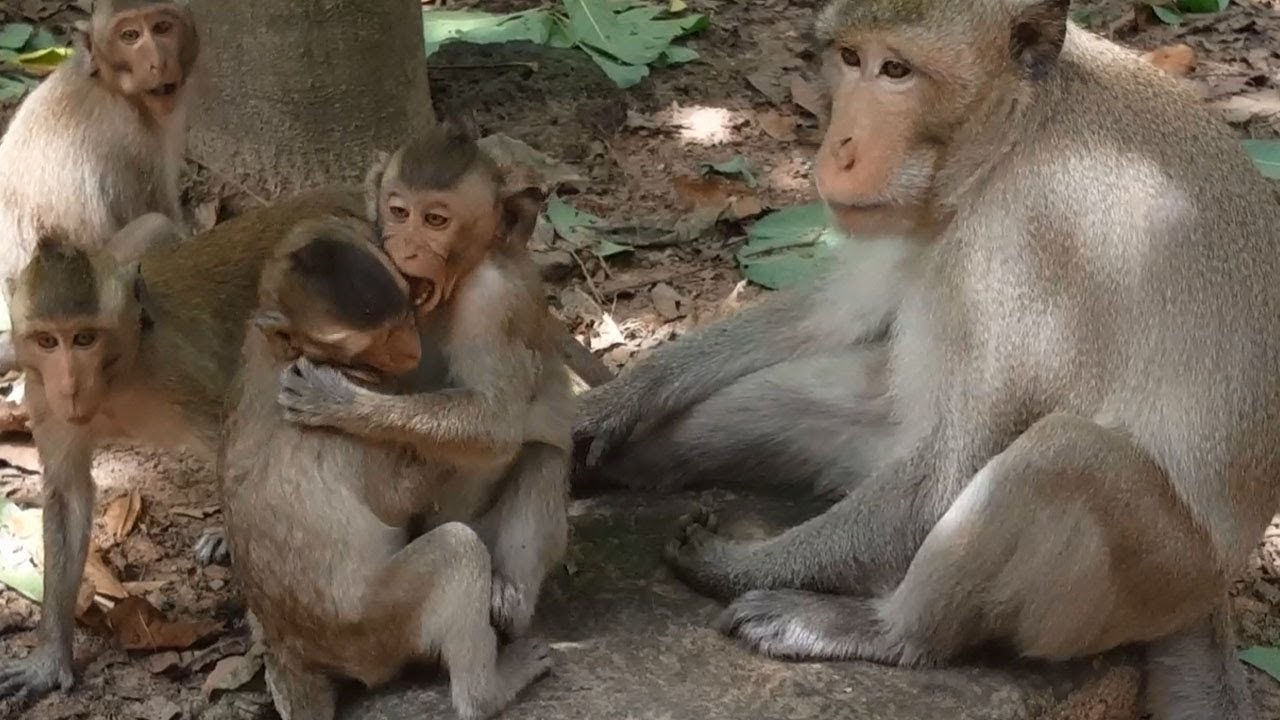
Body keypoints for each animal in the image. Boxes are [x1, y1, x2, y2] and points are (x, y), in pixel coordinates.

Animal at [0, 0, 201, 373]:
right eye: (130, 36)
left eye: (162, 27)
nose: (157, 61)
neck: (106, 84)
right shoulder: (134, 142)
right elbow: (167, 219)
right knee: (158, 227)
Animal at [0, 187, 368, 702]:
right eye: (48, 341)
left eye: (85, 338)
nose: (70, 386)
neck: (120, 369)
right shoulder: (42, 395)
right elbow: (68, 497)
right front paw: (50, 657)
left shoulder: (180, 372)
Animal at [223, 218, 553, 720]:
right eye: (373, 343)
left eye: (406, 314)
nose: (408, 352)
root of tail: (297, 647)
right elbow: (398, 499)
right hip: (375, 629)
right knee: (457, 549)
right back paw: (487, 693)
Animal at [276, 125, 573, 640]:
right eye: (399, 212)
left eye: (435, 220)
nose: (406, 248)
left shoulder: (496, 301)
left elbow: (496, 423)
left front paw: (338, 401)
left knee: (540, 456)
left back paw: (509, 595)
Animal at [572, 0, 1280, 717]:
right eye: (850, 58)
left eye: (897, 70)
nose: (839, 147)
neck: (1013, 138)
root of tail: (1212, 596)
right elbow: (834, 314)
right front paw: (621, 397)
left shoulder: (1033, 239)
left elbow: (953, 471)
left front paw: (734, 567)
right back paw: (626, 466)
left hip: (1158, 577)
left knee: (1065, 456)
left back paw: (882, 630)